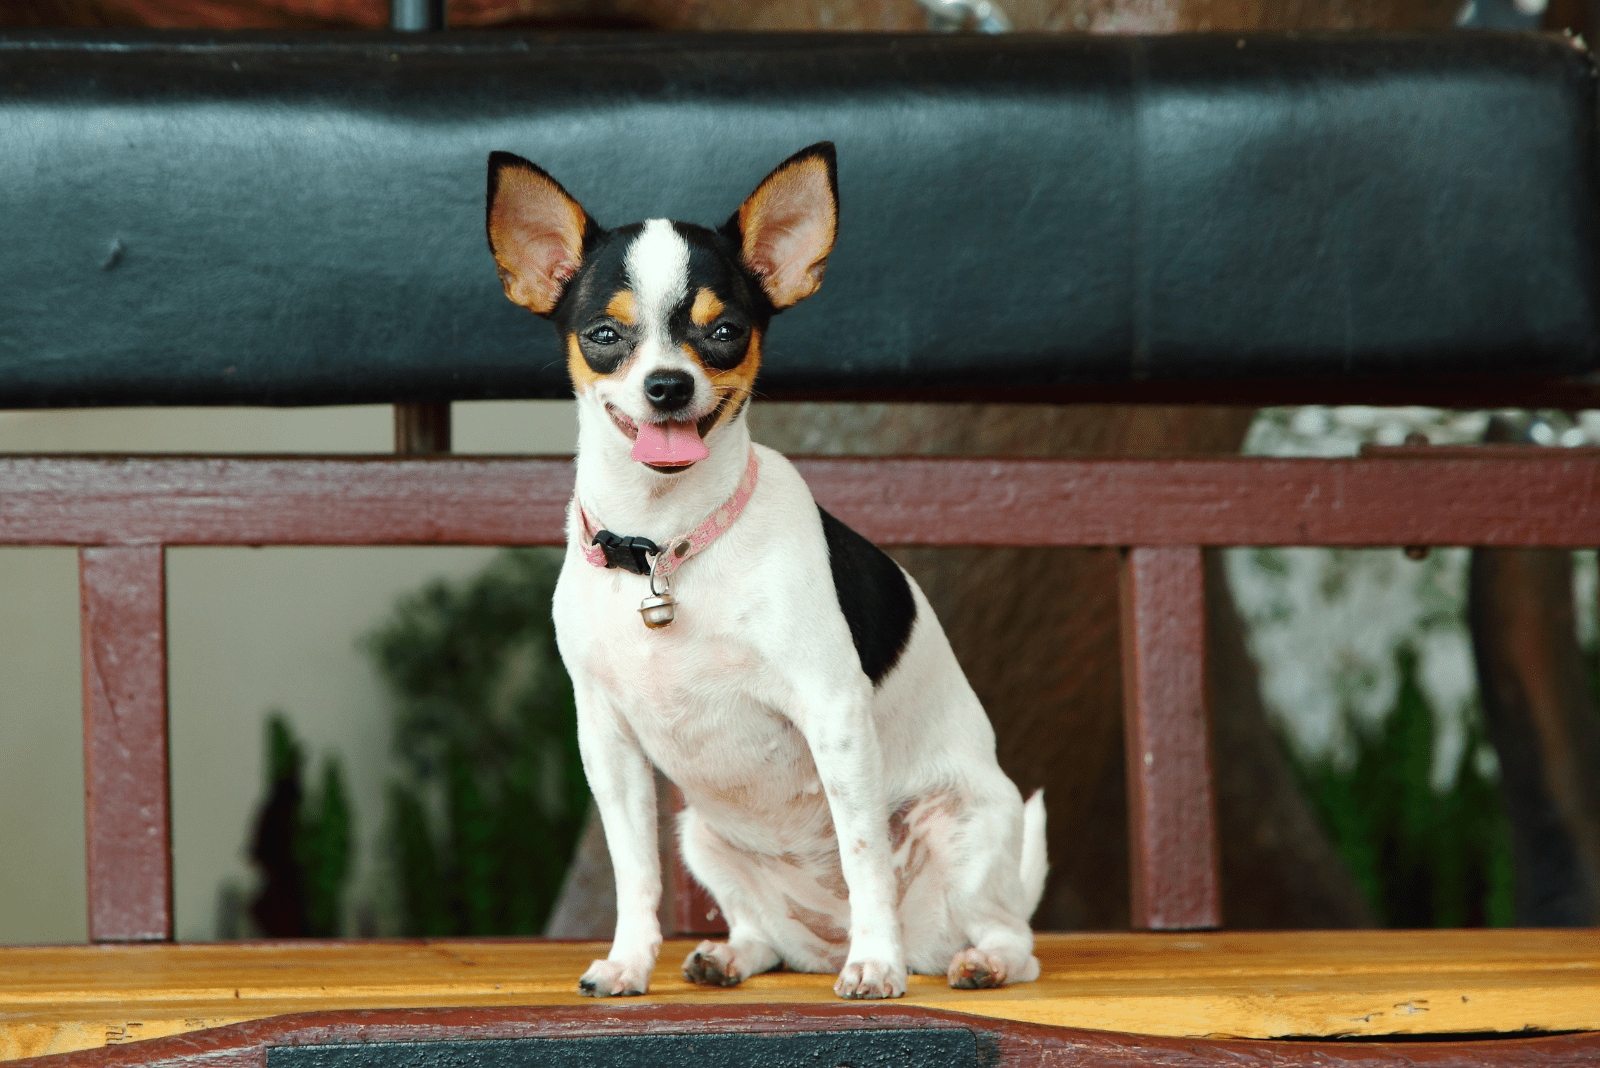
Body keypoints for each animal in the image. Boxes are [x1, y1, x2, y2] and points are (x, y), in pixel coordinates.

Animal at [486, 141, 1049, 1004]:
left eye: (724, 331)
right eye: (604, 334)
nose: (668, 385)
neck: (664, 545)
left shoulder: (833, 714)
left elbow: (861, 852)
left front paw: (875, 966)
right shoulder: (607, 741)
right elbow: (634, 870)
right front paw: (629, 961)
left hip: (963, 831)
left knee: (1011, 938)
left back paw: (953, 959)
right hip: (703, 839)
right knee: (766, 935)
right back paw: (732, 956)